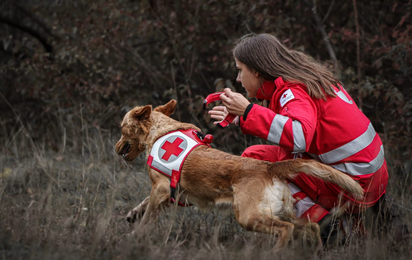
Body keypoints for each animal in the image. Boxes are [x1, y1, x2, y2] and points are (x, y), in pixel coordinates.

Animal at [116, 99, 364, 250]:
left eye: (121, 128)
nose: (116, 148)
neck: (160, 131)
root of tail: (269, 167)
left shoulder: (161, 189)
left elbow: (148, 215)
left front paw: (135, 236)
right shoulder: (170, 194)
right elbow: (144, 204)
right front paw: (133, 214)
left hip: (249, 216)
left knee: (287, 229)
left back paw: (275, 253)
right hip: (282, 211)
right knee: (311, 226)